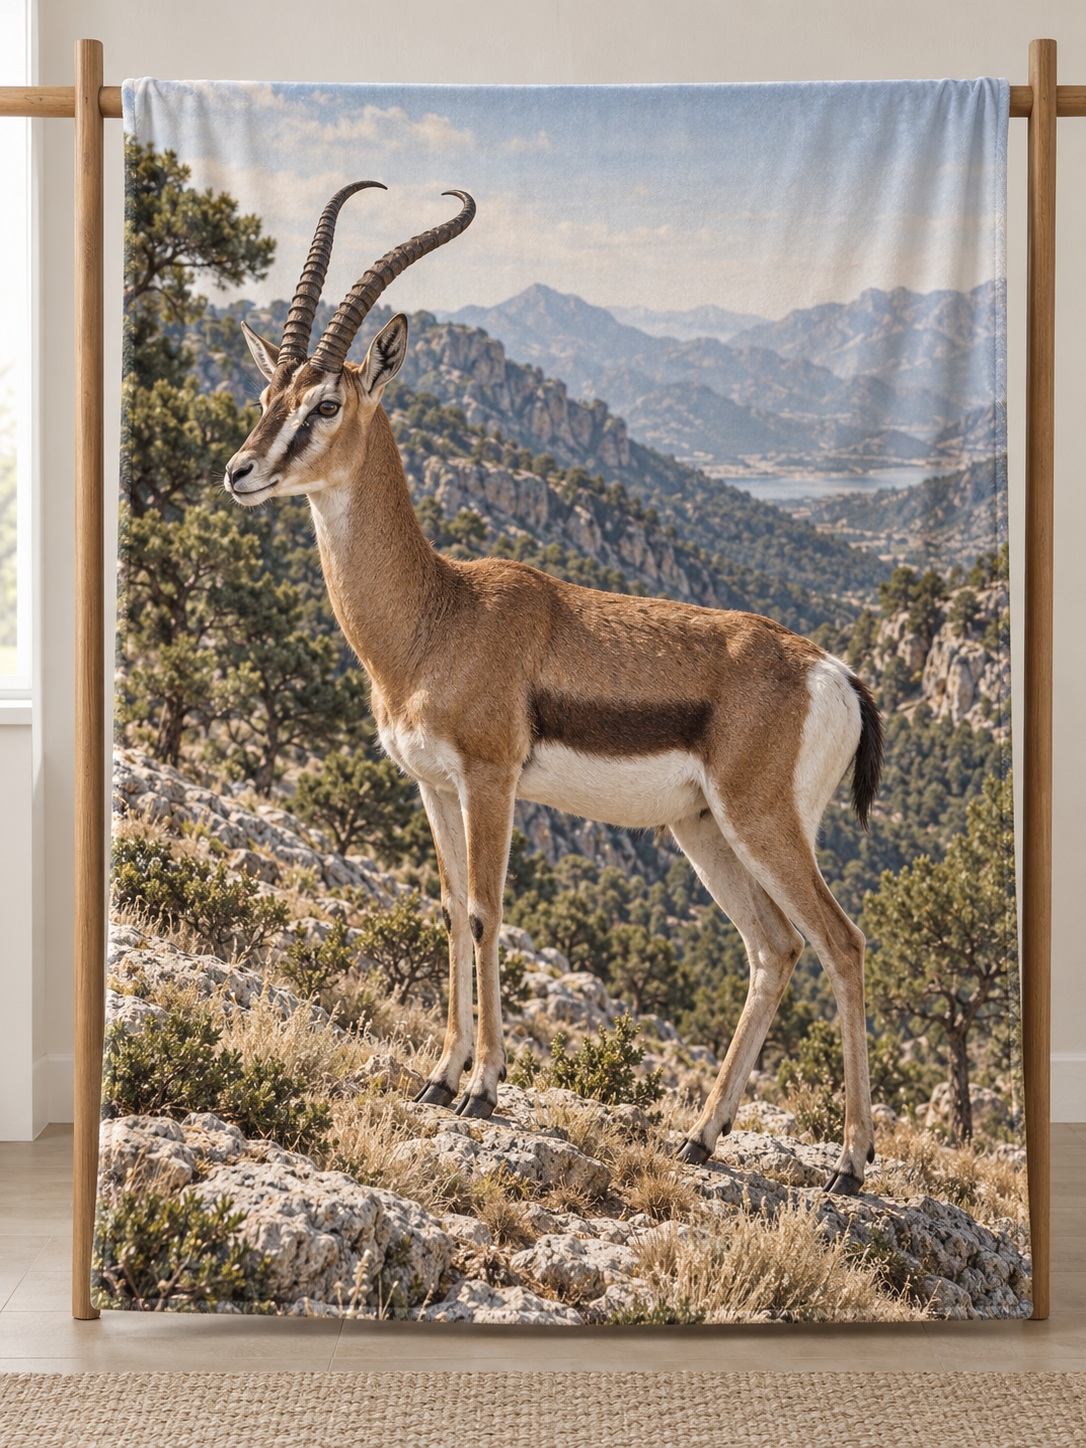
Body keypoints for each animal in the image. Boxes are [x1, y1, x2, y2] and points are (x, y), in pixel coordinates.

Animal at [224, 183, 884, 1195]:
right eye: (269, 395)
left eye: (327, 402)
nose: (240, 471)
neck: (439, 614)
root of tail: (833, 671)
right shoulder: (433, 787)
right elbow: (452, 912)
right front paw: (438, 1075)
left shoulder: (492, 781)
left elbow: (489, 913)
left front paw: (485, 1088)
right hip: (704, 831)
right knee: (772, 949)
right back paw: (699, 1137)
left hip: (765, 824)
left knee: (838, 943)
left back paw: (848, 1166)